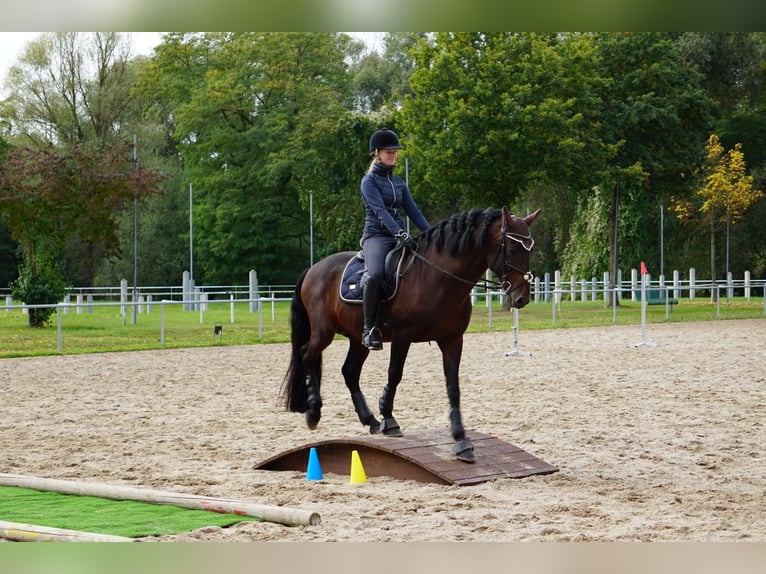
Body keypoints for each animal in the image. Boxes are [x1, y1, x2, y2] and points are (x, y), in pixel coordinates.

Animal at [280, 207, 540, 464]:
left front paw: (461, 440)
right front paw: (389, 418)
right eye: (513, 248)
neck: (438, 278)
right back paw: (314, 411)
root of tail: (314, 268)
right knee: (307, 355)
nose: (522, 298)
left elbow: (453, 386)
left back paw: (370, 420)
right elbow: (395, 374)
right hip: (324, 332)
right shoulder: (402, 337)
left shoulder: (453, 340)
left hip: (358, 339)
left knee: (349, 371)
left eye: (530, 248)